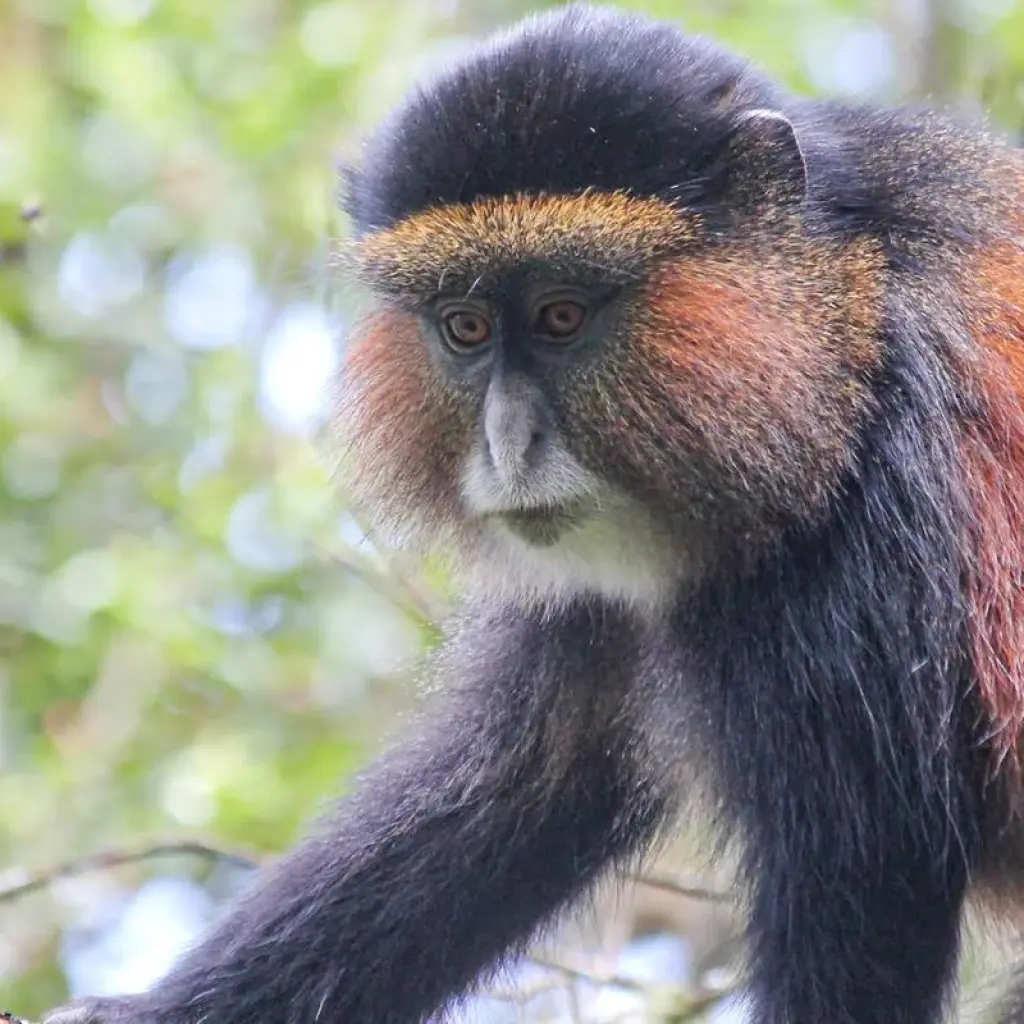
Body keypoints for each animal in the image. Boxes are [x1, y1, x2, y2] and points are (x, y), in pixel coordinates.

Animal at [42, 3, 1024, 1023]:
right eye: (465, 327)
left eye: (560, 316)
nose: (508, 441)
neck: (846, 345)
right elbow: (531, 775)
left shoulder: (878, 537)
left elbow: (868, 886)